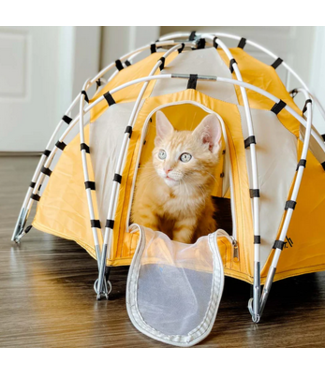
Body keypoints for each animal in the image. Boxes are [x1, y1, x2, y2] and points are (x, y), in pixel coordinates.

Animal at [130, 111, 221, 244]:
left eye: (185, 157)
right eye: (162, 154)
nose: (166, 169)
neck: (178, 193)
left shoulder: (190, 218)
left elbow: (182, 239)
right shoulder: (145, 208)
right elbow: (150, 230)